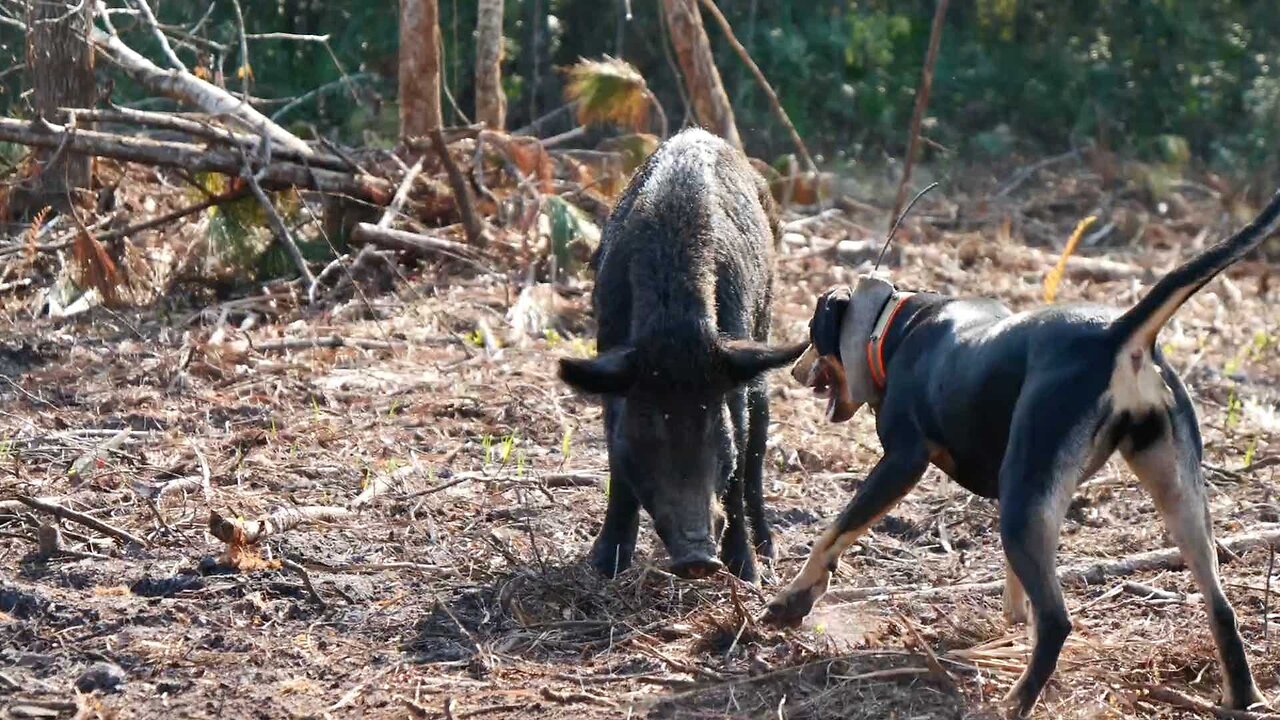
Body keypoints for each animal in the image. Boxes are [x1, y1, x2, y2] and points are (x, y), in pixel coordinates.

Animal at [762, 189, 1274, 712]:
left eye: (812, 331)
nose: (793, 370)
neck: (897, 328)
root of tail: (1118, 334)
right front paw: (1008, 623)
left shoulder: (902, 462)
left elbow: (833, 532)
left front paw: (790, 600)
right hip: (1177, 495)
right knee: (1222, 607)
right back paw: (1244, 697)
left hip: (1025, 501)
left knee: (1056, 621)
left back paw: (1014, 702)